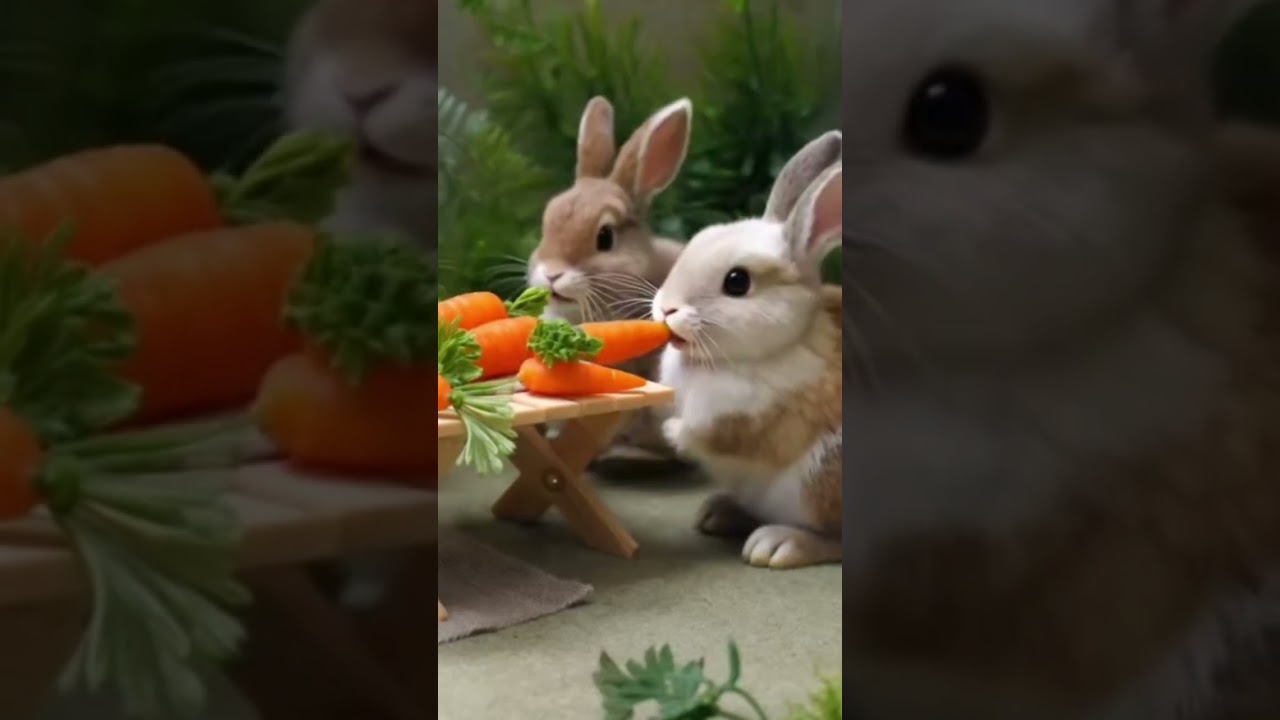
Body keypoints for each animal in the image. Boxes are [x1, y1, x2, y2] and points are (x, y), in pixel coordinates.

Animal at [654, 131, 844, 569]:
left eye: (737, 282)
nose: (666, 308)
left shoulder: (754, 421)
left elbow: (714, 435)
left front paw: (671, 431)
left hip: (825, 479)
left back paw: (779, 544)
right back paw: (718, 512)